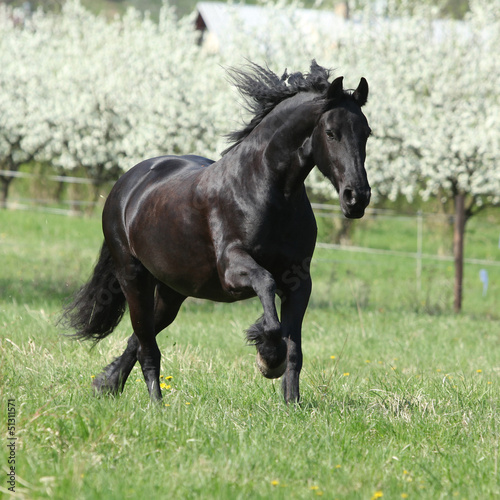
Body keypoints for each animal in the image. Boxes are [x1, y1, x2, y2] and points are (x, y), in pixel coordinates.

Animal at [62, 61, 370, 406]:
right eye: (331, 133)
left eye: (366, 133)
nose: (357, 198)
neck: (267, 189)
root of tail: (126, 184)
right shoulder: (232, 271)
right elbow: (267, 289)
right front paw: (267, 358)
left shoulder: (299, 281)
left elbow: (295, 351)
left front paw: (292, 403)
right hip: (133, 278)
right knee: (147, 348)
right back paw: (156, 406)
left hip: (172, 292)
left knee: (138, 340)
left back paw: (106, 384)